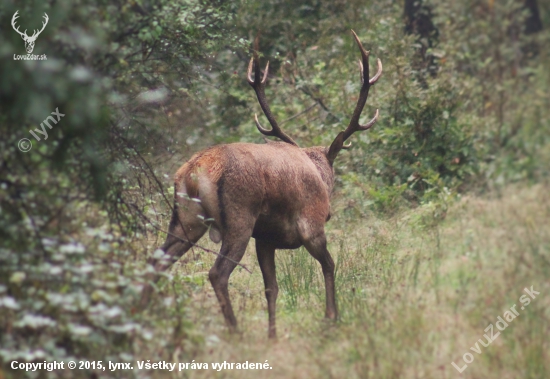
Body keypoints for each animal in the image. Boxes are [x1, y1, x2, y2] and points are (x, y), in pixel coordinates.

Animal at [143, 29, 384, 338]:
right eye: (331, 176)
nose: (331, 211)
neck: (319, 172)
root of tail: (195, 170)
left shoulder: (265, 239)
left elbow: (272, 288)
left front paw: (272, 334)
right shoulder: (311, 224)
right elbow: (330, 266)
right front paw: (331, 317)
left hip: (185, 217)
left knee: (156, 261)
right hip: (239, 217)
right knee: (217, 273)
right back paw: (235, 331)